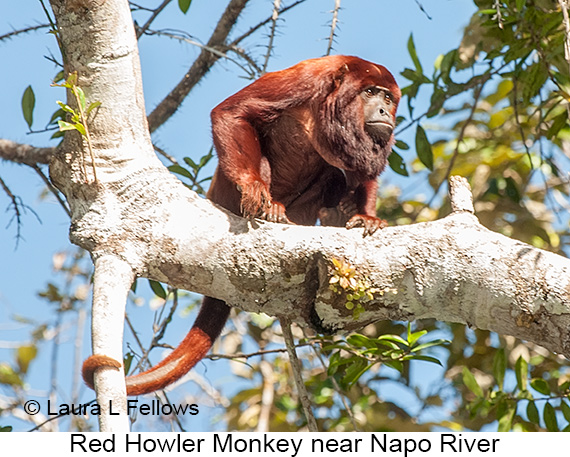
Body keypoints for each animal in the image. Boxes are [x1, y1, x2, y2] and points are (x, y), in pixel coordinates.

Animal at [82, 55, 400, 394]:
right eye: (370, 92)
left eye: (388, 98)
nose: (384, 111)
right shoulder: (309, 77)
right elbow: (234, 112)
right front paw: (253, 186)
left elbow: (362, 173)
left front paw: (365, 217)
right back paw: (269, 209)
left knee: (335, 175)